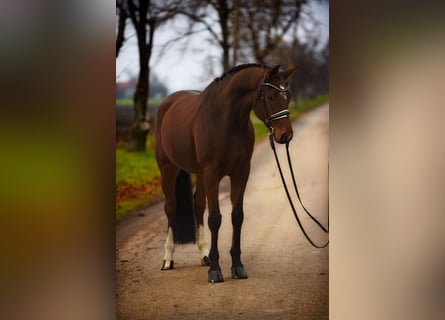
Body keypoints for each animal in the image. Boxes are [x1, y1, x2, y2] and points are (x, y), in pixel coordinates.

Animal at [154, 63, 294, 282]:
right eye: (271, 96)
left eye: (287, 96)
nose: (285, 135)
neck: (226, 121)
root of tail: (167, 103)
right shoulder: (212, 174)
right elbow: (215, 219)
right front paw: (215, 270)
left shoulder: (241, 172)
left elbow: (236, 216)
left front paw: (237, 267)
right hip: (168, 167)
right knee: (171, 207)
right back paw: (168, 259)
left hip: (199, 174)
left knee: (198, 205)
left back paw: (204, 256)